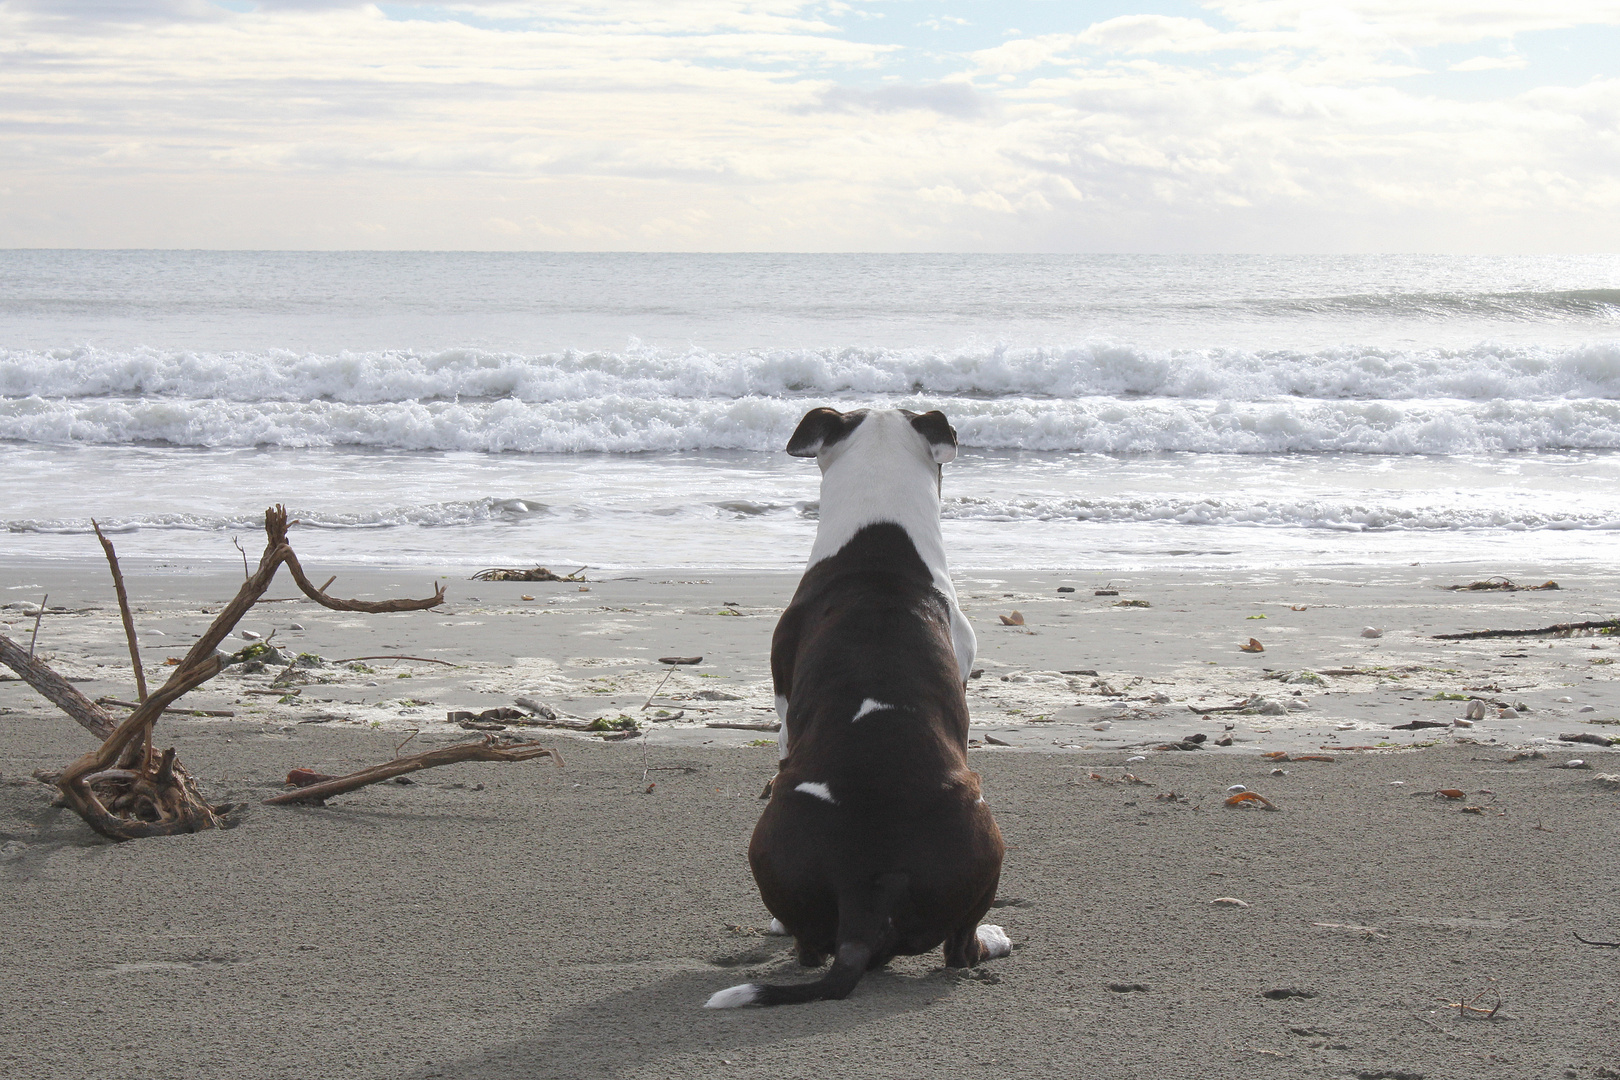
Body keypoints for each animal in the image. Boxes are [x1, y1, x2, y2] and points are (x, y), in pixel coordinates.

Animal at [703, 409, 1004, 1010]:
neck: (878, 549)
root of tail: (867, 892)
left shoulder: (783, 713)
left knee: (822, 945)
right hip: (984, 832)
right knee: (955, 948)